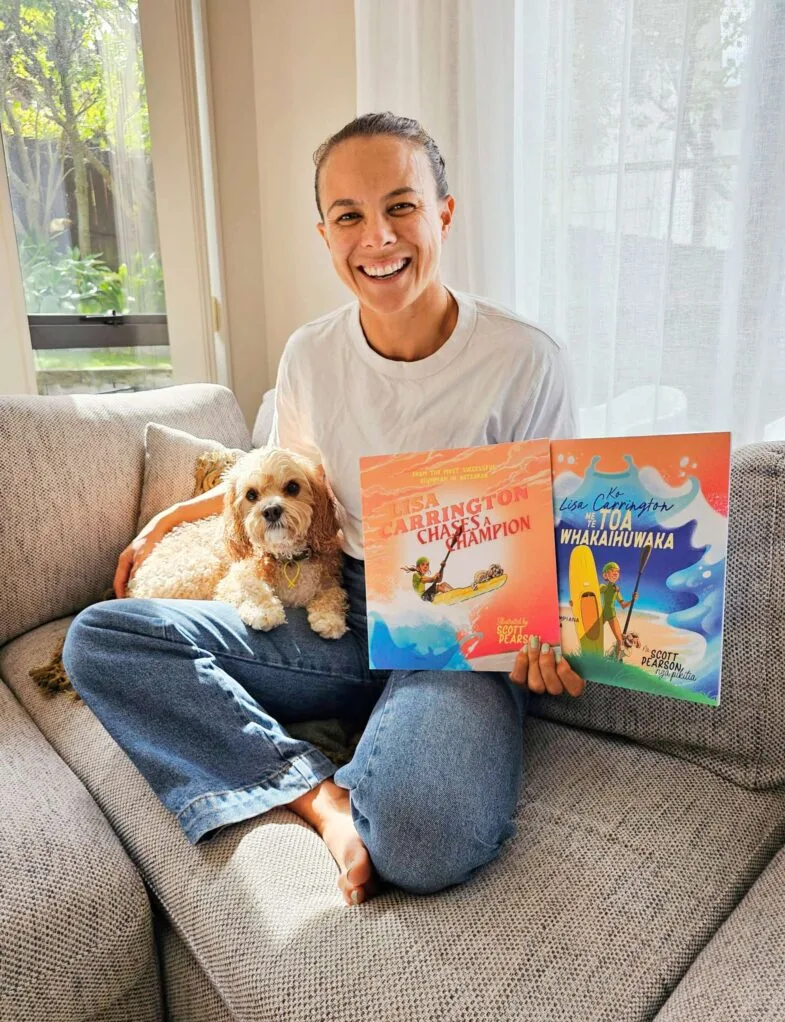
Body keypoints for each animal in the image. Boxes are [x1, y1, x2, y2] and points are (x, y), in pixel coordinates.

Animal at [127, 447, 347, 637]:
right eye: (251, 494)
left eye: (293, 487)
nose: (271, 510)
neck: (287, 559)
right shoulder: (230, 582)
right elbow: (251, 586)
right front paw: (264, 611)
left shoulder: (328, 579)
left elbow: (333, 593)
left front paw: (329, 617)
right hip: (203, 567)